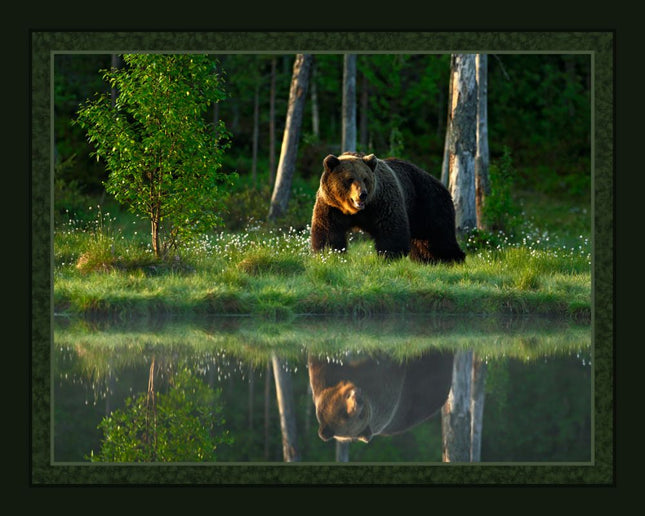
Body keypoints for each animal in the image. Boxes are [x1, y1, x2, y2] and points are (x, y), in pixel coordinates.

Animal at [310, 152, 465, 264]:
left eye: (365, 178)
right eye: (350, 179)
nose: (362, 194)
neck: (356, 211)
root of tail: (440, 184)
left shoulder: (382, 203)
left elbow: (390, 230)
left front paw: (389, 256)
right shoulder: (332, 207)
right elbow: (328, 232)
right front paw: (328, 253)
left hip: (428, 203)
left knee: (439, 236)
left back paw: (452, 258)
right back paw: (426, 259)